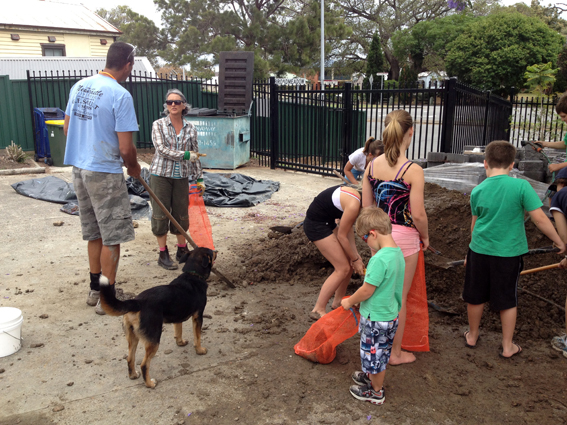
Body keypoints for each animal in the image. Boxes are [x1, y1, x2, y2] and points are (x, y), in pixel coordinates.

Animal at [99, 247, 216, 388]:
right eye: (211, 252)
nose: (216, 251)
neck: (192, 275)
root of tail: (138, 302)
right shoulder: (198, 316)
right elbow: (197, 337)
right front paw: (200, 350)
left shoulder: (178, 317)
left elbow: (178, 331)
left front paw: (180, 342)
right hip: (154, 339)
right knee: (144, 364)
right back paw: (150, 383)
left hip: (133, 338)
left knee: (130, 358)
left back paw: (133, 375)